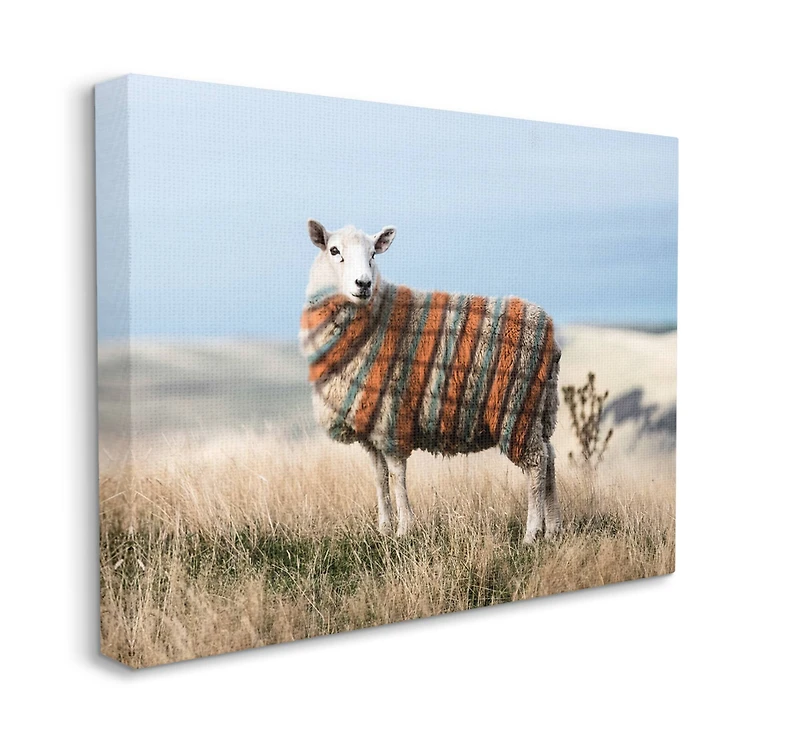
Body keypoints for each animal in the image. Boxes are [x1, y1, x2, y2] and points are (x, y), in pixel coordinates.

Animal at [299, 220, 562, 543]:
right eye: (334, 251)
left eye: (373, 254)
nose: (364, 284)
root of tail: (548, 329)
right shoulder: (368, 425)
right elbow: (379, 477)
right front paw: (384, 528)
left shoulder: (391, 419)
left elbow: (397, 476)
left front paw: (404, 529)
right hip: (540, 407)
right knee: (549, 459)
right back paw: (553, 529)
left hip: (516, 407)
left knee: (536, 464)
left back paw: (531, 533)